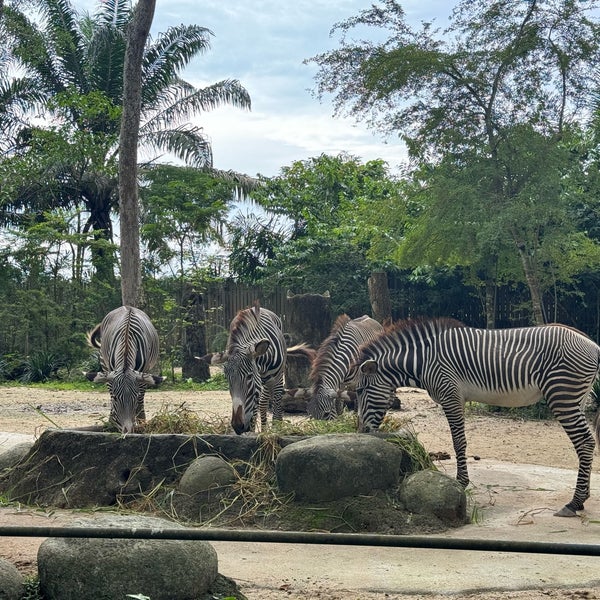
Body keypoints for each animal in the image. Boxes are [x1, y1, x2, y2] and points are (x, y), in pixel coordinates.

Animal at [200, 302, 288, 434]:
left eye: (249, 376)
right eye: (227, 380)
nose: (237, 426)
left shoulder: (277, 379)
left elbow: (277, 410)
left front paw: (276, 431)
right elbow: (253, 417)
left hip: (271, 380)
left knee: (267, 402)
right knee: (261, 405)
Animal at [354, 316, 600, 516]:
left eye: (359, 391)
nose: (361, 431)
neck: (423, 362)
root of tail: (593, 345)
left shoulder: (451, 396)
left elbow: (458, 441)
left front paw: (461, 482)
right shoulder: (457, 398)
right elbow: (459, 441)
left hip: (562, 394)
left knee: (585, 441)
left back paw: (573, 503)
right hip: (577, 398)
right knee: (583, 443)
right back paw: (581, 499)